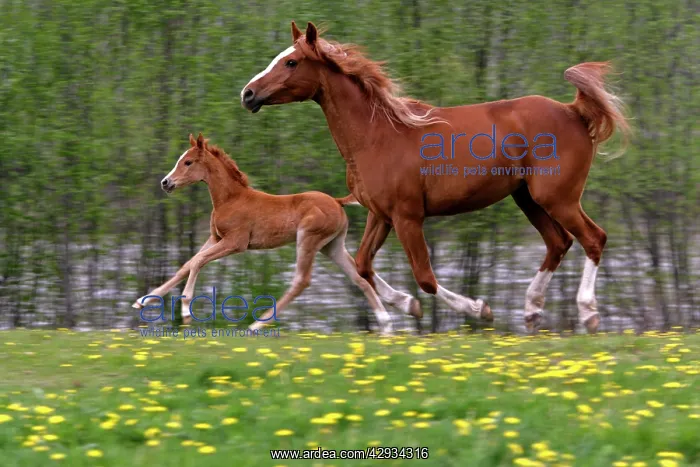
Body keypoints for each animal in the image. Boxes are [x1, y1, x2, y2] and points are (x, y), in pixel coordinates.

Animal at [132, 133, 422, 334]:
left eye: (188, 162)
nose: (166, 183)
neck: (231, 199)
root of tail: (337, 202)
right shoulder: (215, 238)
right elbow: (187, 264)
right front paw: (142, 301)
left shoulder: (235, 242)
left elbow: (198, 262)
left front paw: (185, 310)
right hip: (332, 246)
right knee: (359, 278)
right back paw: (387, 322)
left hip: (308, 239)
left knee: (301, 281)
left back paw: (256, 325)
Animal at [239, 21, 631, 333]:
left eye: (291, 62)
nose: (248, 94)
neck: (378, 135)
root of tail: (574, 111)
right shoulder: (380, 215)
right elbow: (364, 266)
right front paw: (406, 304)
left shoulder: (408, 217)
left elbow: (425, 278)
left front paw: (478, 309)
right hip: (527, 198)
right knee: (558, 243)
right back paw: (532, 310)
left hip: (558, 197)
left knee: (593, 239)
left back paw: (588, 314)